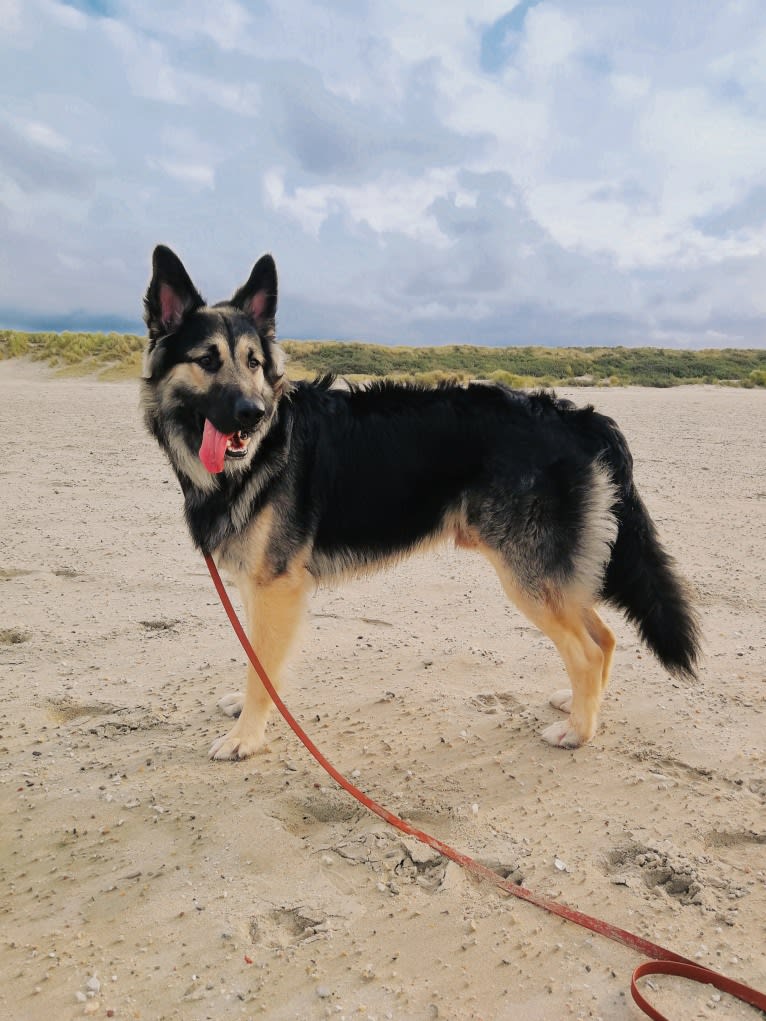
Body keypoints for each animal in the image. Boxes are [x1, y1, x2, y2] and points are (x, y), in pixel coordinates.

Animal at [140, 245, 706, 759]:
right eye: (207, 360)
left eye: (254, 363)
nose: (253, 414)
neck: (266, 448)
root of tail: (577, 415)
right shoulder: (259, 587)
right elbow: (258, 659)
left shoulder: (276, 587)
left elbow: (261, 665)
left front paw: (247, 737)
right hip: (548, 574)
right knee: (604, 638)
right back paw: (577, 706)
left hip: (527, 575)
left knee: (588, 650)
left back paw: (579, 731)